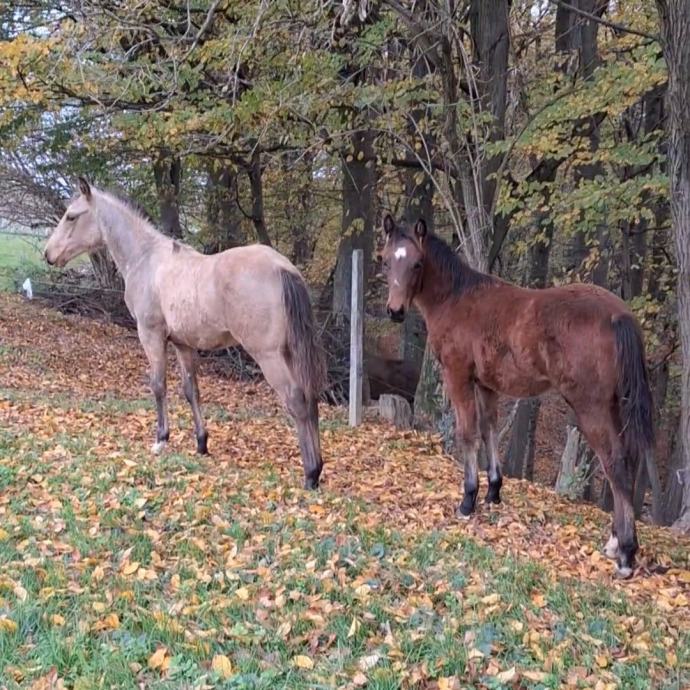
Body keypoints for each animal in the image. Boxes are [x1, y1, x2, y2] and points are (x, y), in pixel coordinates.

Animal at [45, 177, 326, 490]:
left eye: (71, 216)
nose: (48, 254)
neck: (146, 258)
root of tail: (283, 268)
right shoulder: (183, 345)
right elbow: (192, 391)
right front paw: (201, 443)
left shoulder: (151, 336)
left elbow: (158, 385)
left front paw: (161, 440)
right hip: (290, 352)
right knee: (311, 397)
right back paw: (318, 468)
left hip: (269, 356)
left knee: (296, 399)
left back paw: (310, 474)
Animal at [378, 214, 652, 576]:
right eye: (385, 260)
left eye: (417, 263)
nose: (395, 311)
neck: (456, 300)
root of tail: (618, 314)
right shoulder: (486, 384)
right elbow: (489, 429)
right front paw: (493, 491)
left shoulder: (458, 376)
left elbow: (468, 433)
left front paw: (468, 500)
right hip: (615, 406)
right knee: (627, 460)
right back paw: (615, 542)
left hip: (591, 407)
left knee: (615, 462)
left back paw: (625, 553)